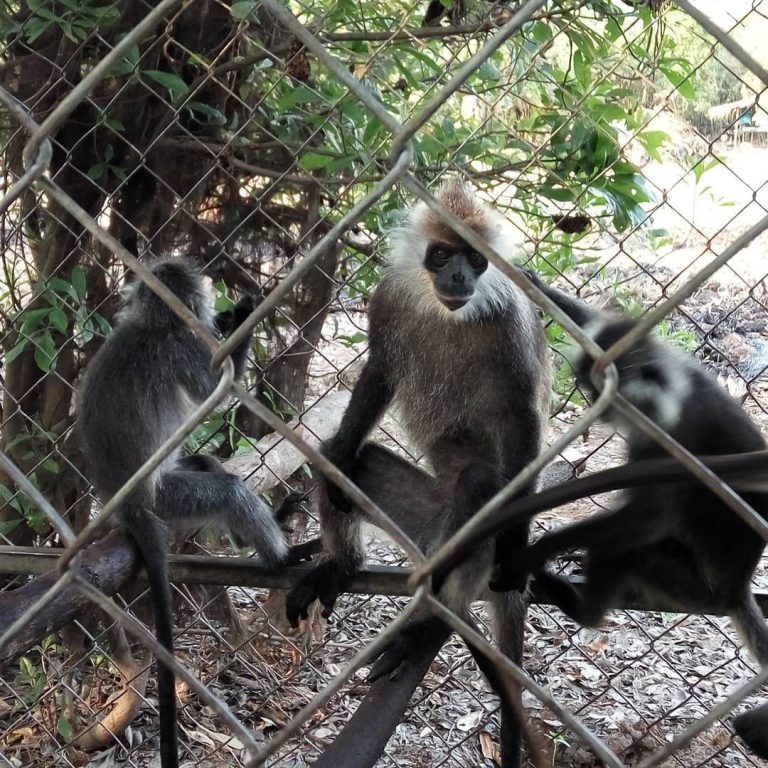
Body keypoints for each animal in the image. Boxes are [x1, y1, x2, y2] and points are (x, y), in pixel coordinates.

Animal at [284, 180, 548, 768]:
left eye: (477, 258)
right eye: (443, 255)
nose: (461, 279)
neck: (443, 312)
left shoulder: (512, 324)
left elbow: (523, 419)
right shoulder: (390, 300)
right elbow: (379, 372)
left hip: (461, 536)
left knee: (477, 484)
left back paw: (425, 630)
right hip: (419, 518)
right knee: (347, 461)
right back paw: (341, 564)